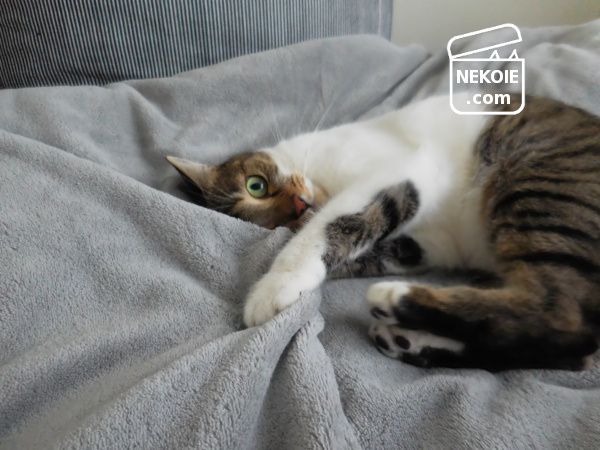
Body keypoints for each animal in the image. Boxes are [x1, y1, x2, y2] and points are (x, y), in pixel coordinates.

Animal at [167, 92, 600, 371]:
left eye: (256, 186)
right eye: (272, 222)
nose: (299, 207)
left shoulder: (400, 168)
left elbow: (336, 223)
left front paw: (276, 285)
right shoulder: (429, 244)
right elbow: (361, 243)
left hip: (537, 180)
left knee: (562, 315)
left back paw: (398, 302)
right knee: (568, 349)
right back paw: (410, 340)